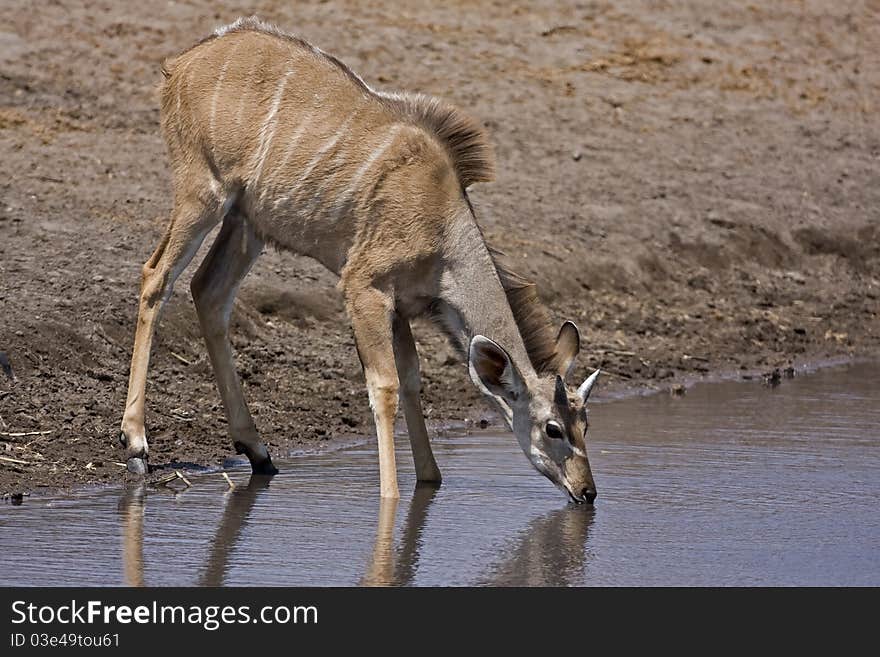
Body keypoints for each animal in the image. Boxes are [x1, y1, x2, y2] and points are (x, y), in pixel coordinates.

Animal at [120, 18, 600, 502]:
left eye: (586, 423)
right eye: (553, 428)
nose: (587, 491)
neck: (444, 227)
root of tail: (181, 64)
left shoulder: (401, 305)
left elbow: (412, 378)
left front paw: (430, 477)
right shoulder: (363, 286)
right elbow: (384, 385)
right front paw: (391, 495)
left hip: (248, 223)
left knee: (209, 291)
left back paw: (257, 449)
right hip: (203, 193)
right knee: (156, 276)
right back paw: (136, 444)